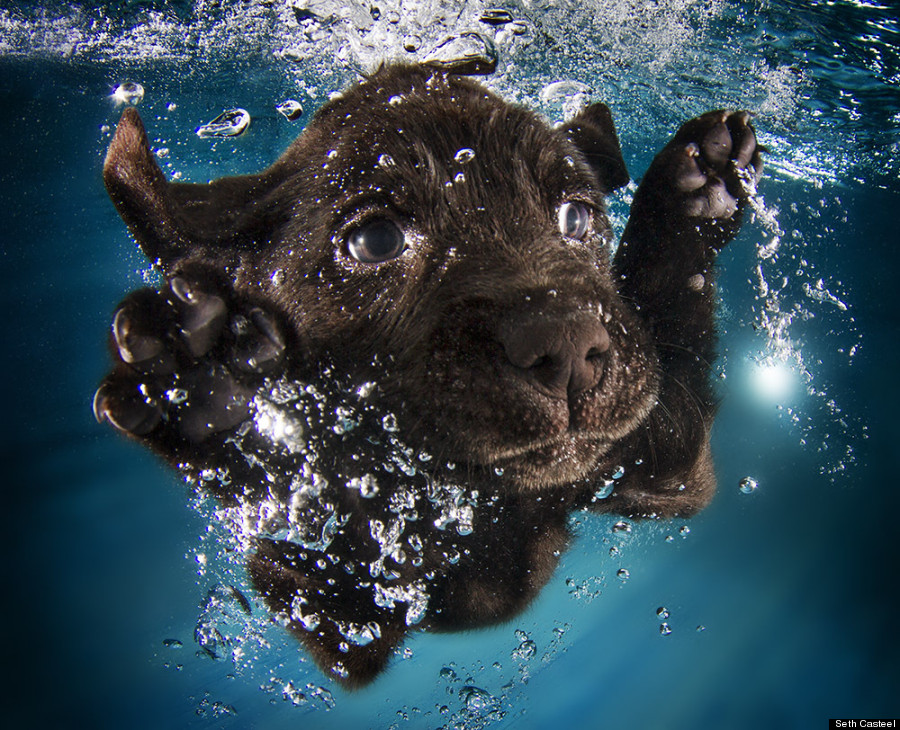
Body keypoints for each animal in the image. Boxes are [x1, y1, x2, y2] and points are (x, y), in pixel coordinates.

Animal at [96, 62, 760, 684]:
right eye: (375, 241)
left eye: (576, 217)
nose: (569, 348)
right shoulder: (349, 618)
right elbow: (323, 527)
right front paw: (215, 398)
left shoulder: (668, 470)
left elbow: (673, 335)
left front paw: (695, 187)